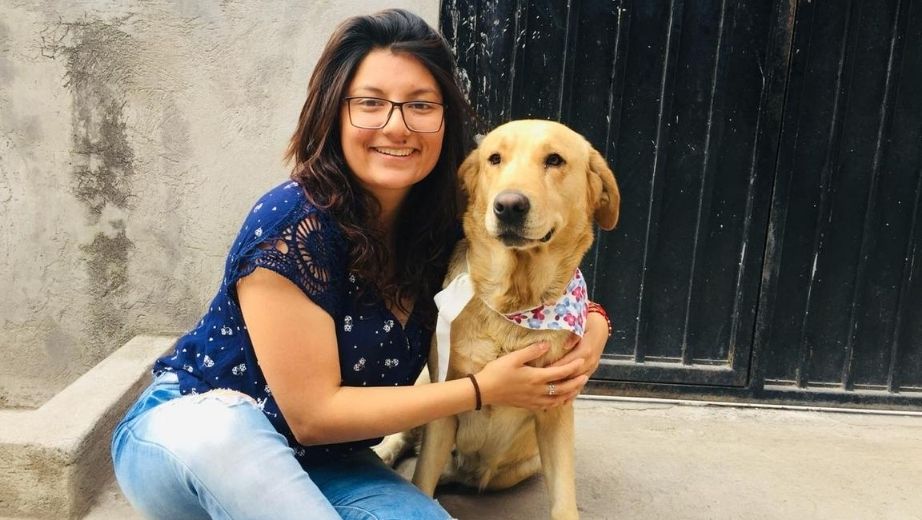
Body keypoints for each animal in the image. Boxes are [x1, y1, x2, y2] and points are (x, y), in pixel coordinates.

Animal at [374, 120, 620, 520]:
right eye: (494, 158)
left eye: (555, 159)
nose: (508, 206)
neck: (513, 302)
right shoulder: (444, 399)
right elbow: (422, 478)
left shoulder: (555, 413)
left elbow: (564, 498)